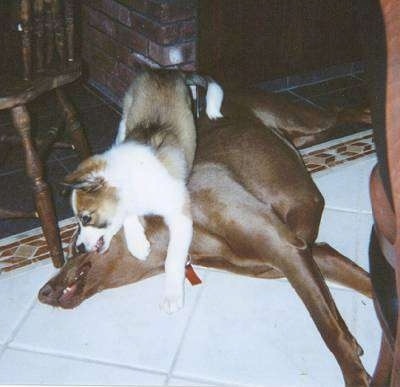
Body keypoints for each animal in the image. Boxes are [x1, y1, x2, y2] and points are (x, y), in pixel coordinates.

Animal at [64, 68, 223, 314]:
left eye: (86, 217)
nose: (79, 248)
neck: (135, 182)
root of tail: (165, 71)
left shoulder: (180, 216)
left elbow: (173, 259)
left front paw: (172, 295)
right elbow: (128, 216)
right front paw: (138, 244)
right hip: (125, 117)